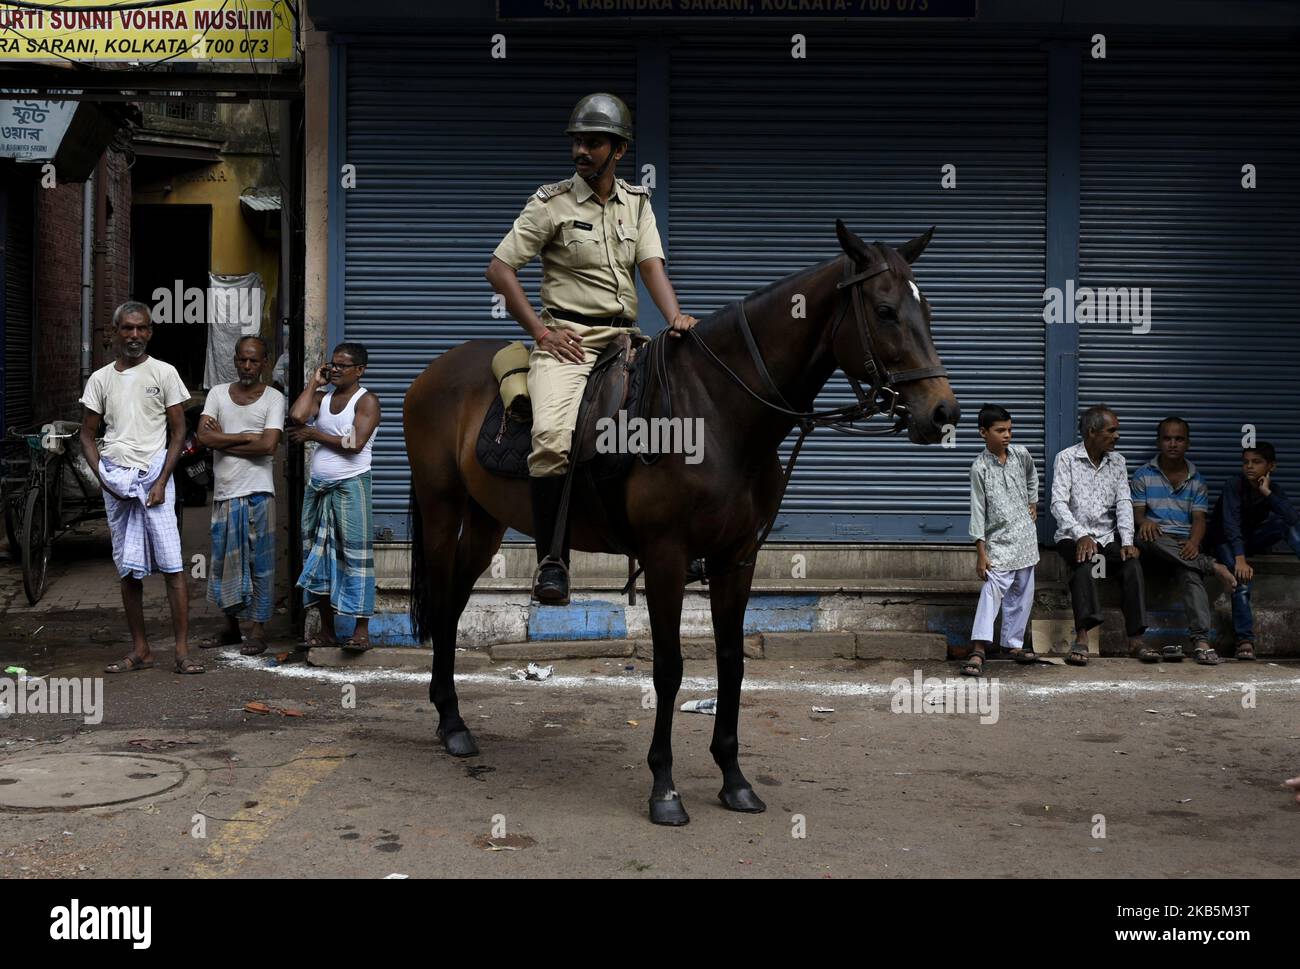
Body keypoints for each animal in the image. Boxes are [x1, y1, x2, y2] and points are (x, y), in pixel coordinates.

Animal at [405, 221, 967, 822]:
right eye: (885, 311)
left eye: (927, 309)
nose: (943, 412)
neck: (721, 411)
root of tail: (432, 371)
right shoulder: (666, 557)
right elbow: (670, 668)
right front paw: (664, 786)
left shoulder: (736, 559)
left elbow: (730, 662)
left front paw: (734, 778)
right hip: (441, 509)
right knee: (443, 603)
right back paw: (451, 723)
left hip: (485, 521)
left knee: (452, 604)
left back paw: (451, 718)